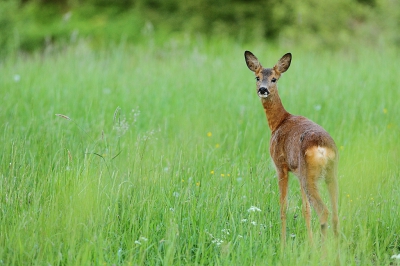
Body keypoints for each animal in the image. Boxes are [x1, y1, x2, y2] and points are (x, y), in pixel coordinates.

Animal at [244, 51, 338, 245]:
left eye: (274, 79)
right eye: (257, 77)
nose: (262, 89)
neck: (279, 122)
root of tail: (323, 147)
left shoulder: (281, 165)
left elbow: (283, 207)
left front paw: (283, 244)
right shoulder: (297, 172)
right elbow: (305, 210)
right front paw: (310, 244)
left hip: (309, 175)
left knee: (323, 211)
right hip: (328, 174)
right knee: (335, 213)